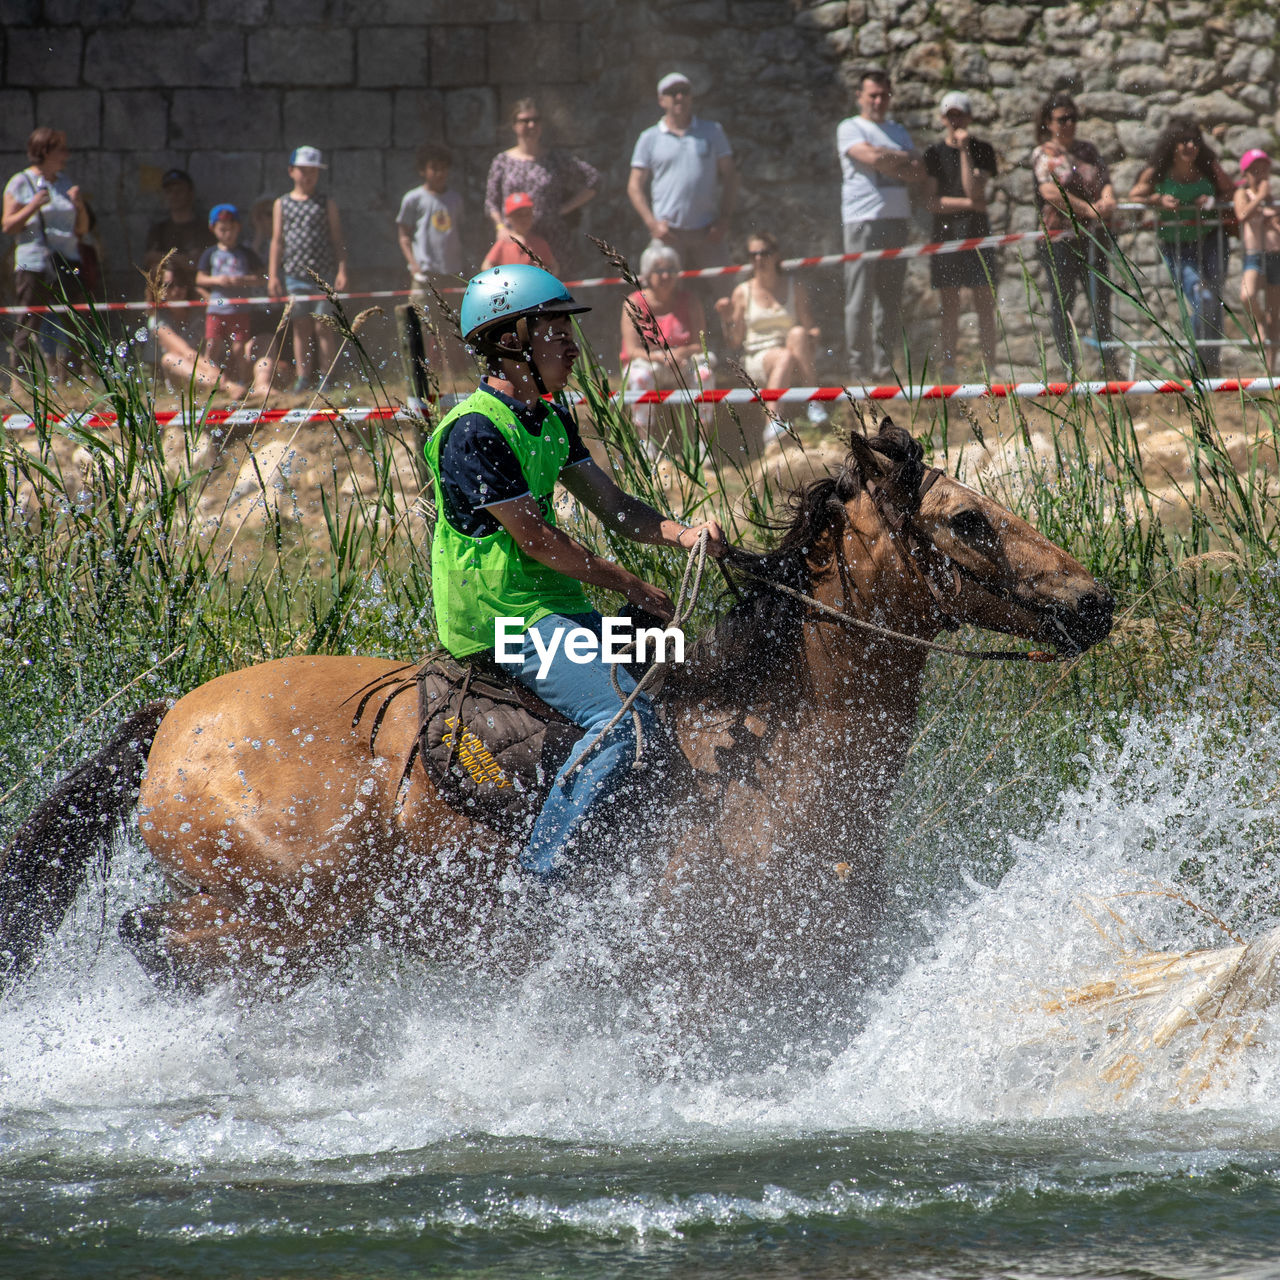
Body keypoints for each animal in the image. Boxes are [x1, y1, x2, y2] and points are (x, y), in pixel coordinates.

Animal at [0, 419, 1111, 998]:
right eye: (968, 520)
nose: (1095, 600)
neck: (773, 754)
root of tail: (174, 718)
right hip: (284, 910)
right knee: (157, 938)